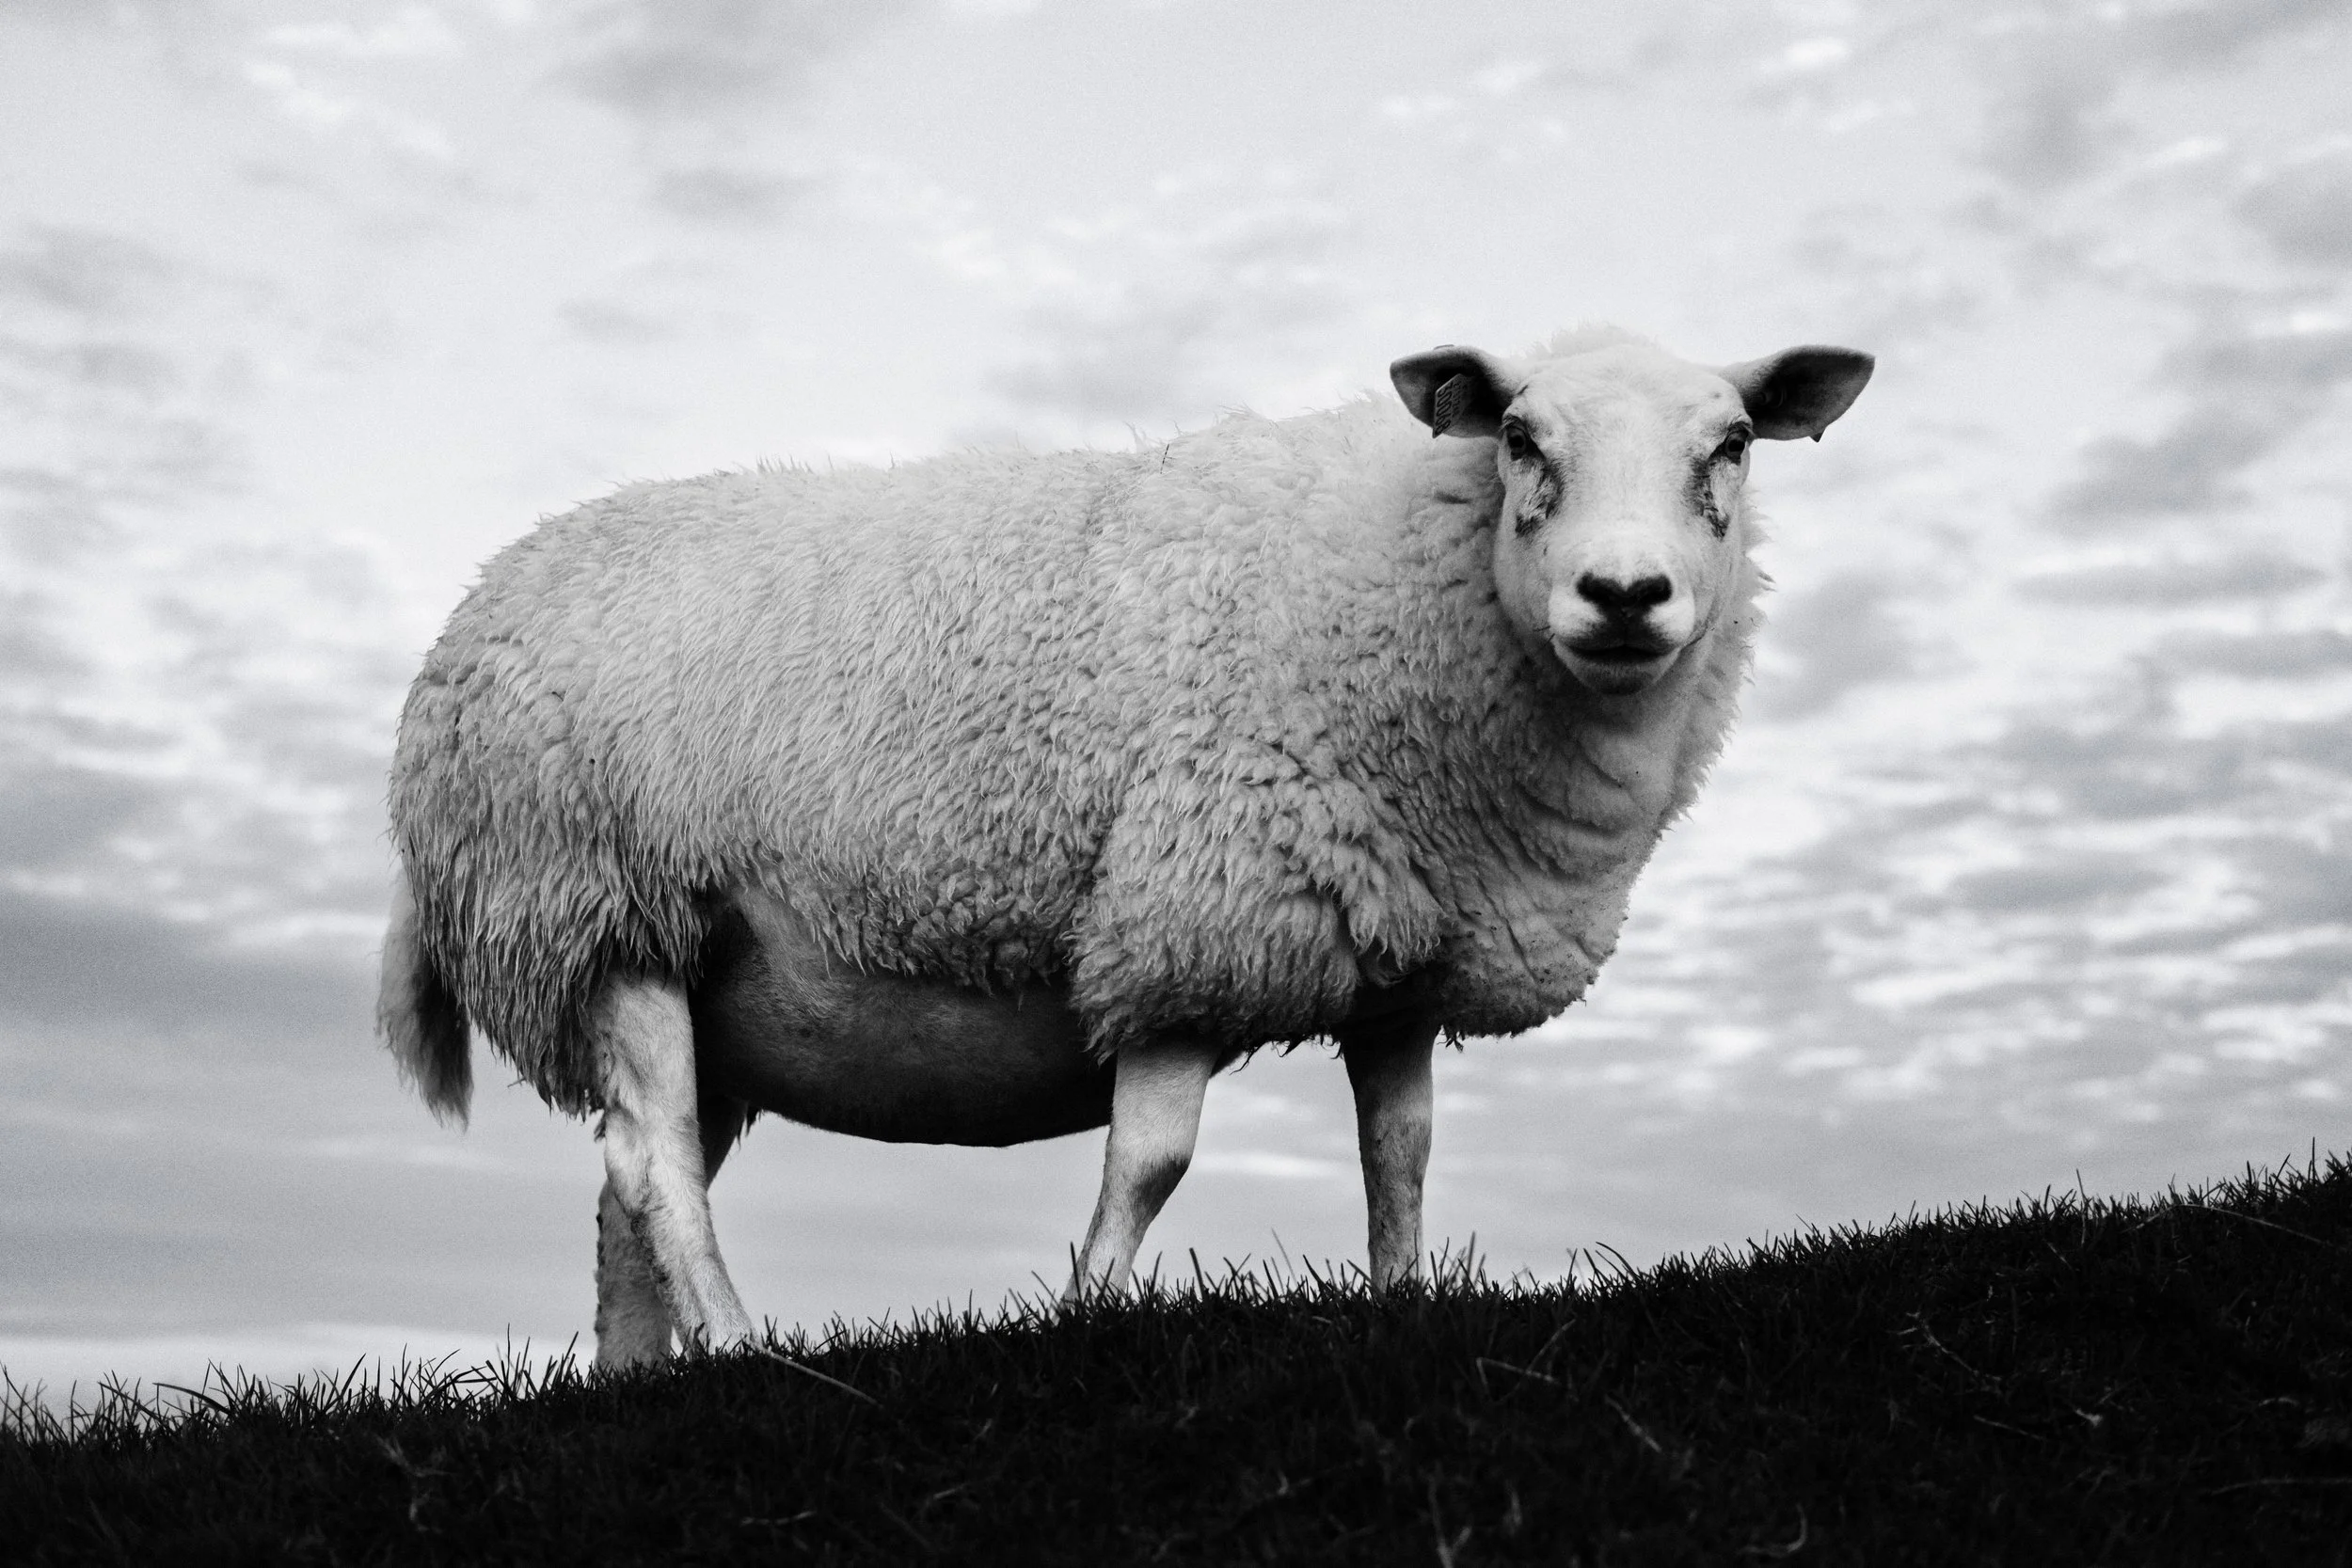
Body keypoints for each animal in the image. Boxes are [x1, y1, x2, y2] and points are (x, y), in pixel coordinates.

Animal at [378, 326, 1872, 1367]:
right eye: (1517, 433)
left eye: (1733, 442)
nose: (1624, 594)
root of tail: (476, 606)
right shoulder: (1185, 918)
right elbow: (1151, 1161)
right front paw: (1089, 1315)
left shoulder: (1393, 954)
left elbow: (1401, 1150)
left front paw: (1401, 1304)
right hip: (597, 908)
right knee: (657, 1168)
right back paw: (744, 1349)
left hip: (686, 984)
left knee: (627, 1189)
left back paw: (647, 1380)